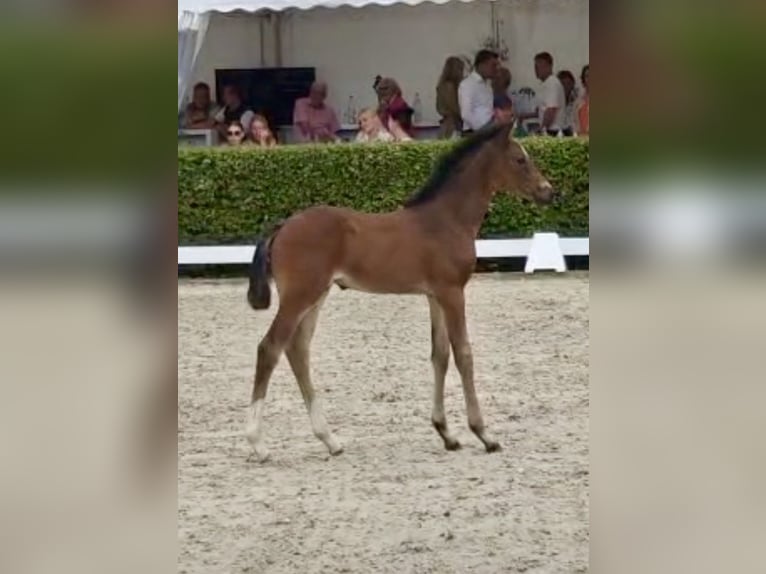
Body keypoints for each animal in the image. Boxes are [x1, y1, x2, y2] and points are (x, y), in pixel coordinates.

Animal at [245, 121, 556, 461]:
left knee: (297, 350)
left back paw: (330, 440)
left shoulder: (435, 295)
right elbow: (463, 354)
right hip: (300, 295)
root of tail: (283, 226)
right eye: (519, 160)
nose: (548, 191)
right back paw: (258, 443)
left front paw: (446, 434)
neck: (446, 220)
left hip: (316, 296)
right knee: (269, 348)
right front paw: (484, 434)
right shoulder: (453, 292)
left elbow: (440, 355)